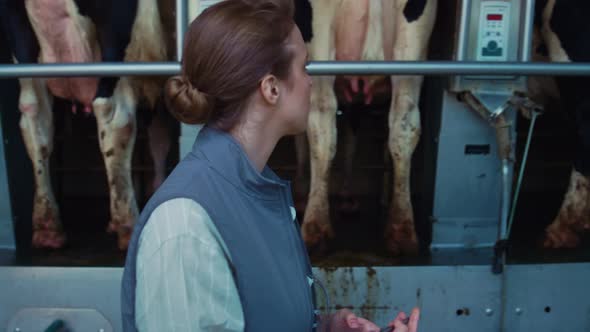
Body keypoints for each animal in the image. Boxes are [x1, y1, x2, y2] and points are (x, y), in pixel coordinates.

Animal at [296, 0, 440, 256]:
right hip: (412, 38)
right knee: (404, 121)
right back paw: (401, 229)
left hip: (315, 29)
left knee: (321, 118)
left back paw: (314, 227)